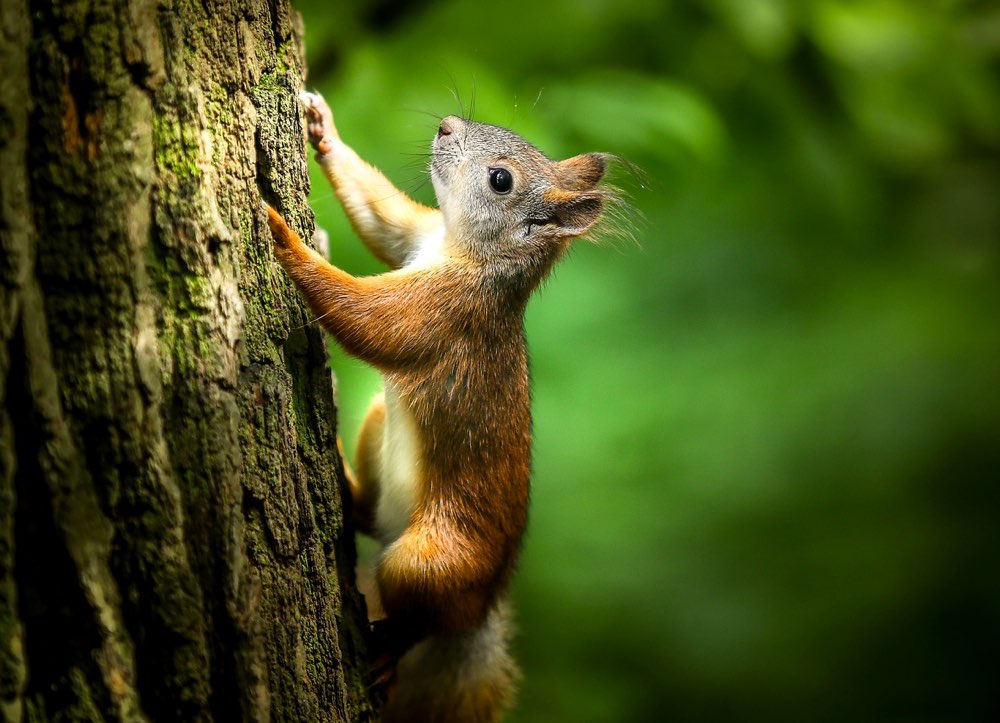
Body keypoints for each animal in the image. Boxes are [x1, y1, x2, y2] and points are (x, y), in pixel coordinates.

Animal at [262, 90, 612, 723]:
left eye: (501, 179)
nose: (446, 126)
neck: (460, 249)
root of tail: (479, 611)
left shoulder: (447, 312)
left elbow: (365, 320)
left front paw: (283, 238)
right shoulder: (417, 236)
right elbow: (384, 220)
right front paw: (322, 128)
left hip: (430, 563)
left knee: (421, 618)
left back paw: (390, 651)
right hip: (378, 430)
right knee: (369, 514)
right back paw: (347, 490)